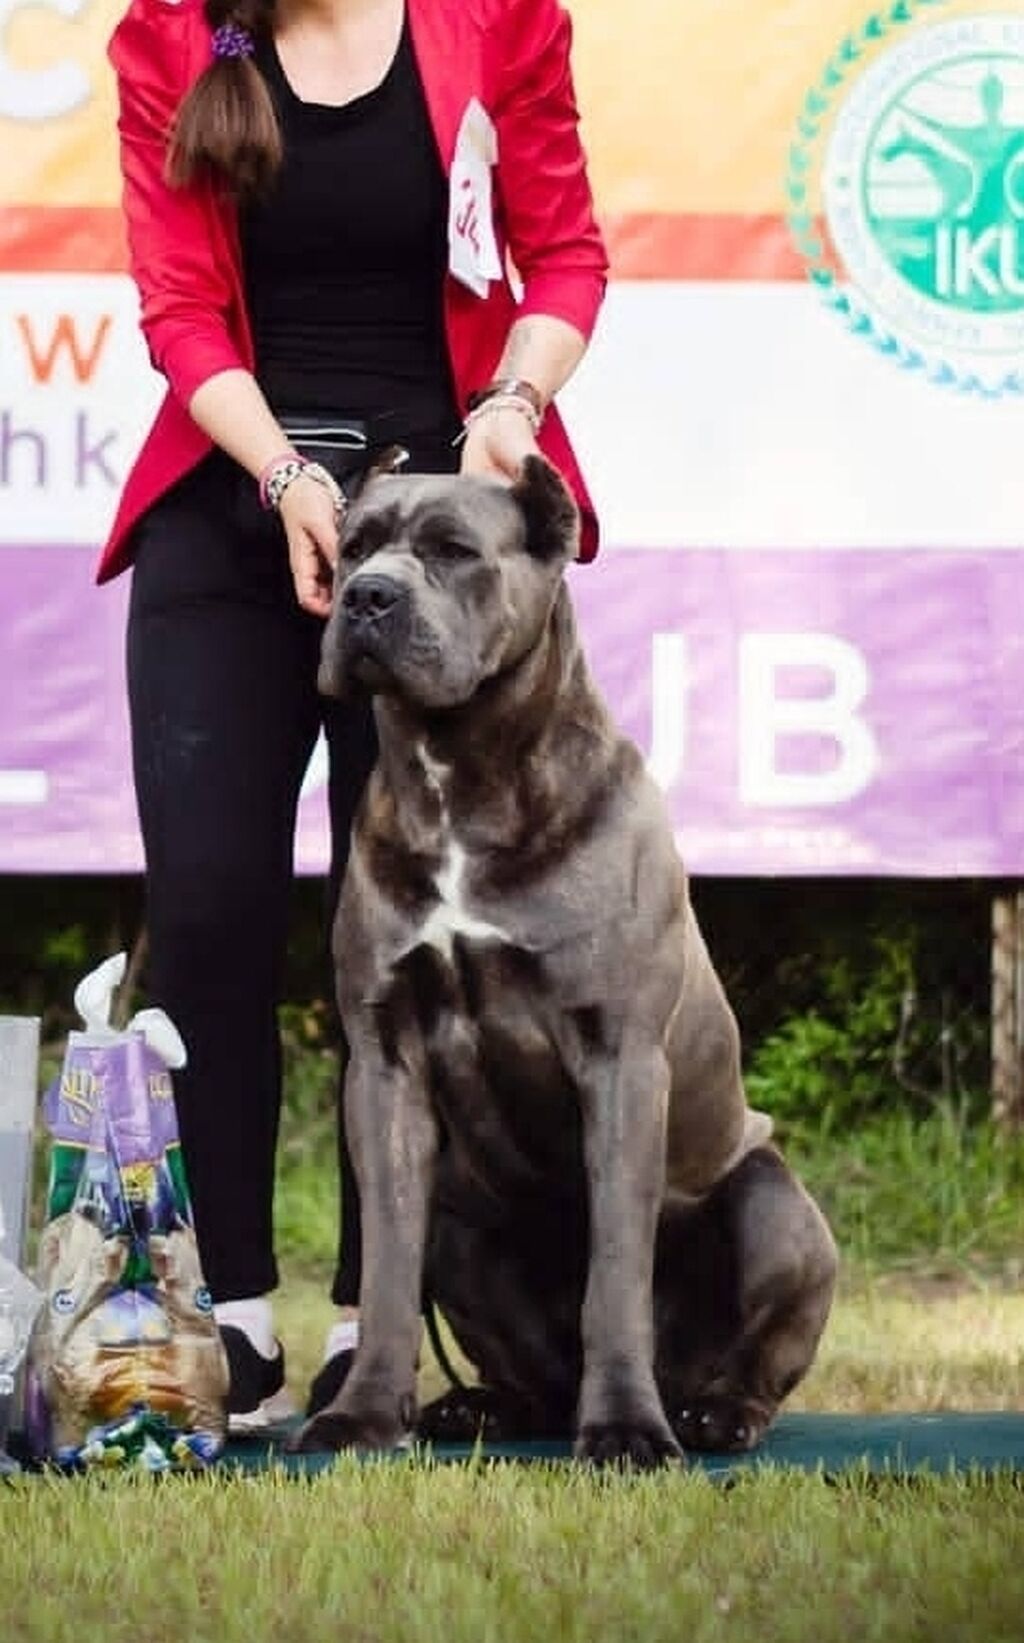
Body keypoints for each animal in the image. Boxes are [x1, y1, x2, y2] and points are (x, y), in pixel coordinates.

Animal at [299, 453, 841, 1465]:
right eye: (353, 545)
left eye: (453, 550)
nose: (367, 597)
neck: (459, 775)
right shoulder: (384, 1062)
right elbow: (386, 1266)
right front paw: (361, 1414)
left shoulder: (619, 1055)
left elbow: (616, 1273)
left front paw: (625, 1428)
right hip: (462, 1231)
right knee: (523, 1365)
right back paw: (481, 1406)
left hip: (774, 1205)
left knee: (753, 1347)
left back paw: (713, 1411)